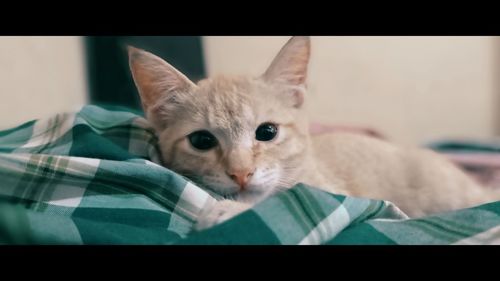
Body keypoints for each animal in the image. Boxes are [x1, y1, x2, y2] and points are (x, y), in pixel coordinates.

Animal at [128, 36, 500, 230]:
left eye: (266, 132)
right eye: (202, 141)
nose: (241, 173)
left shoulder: (335, 193)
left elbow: (288, 198)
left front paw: (227, 211)